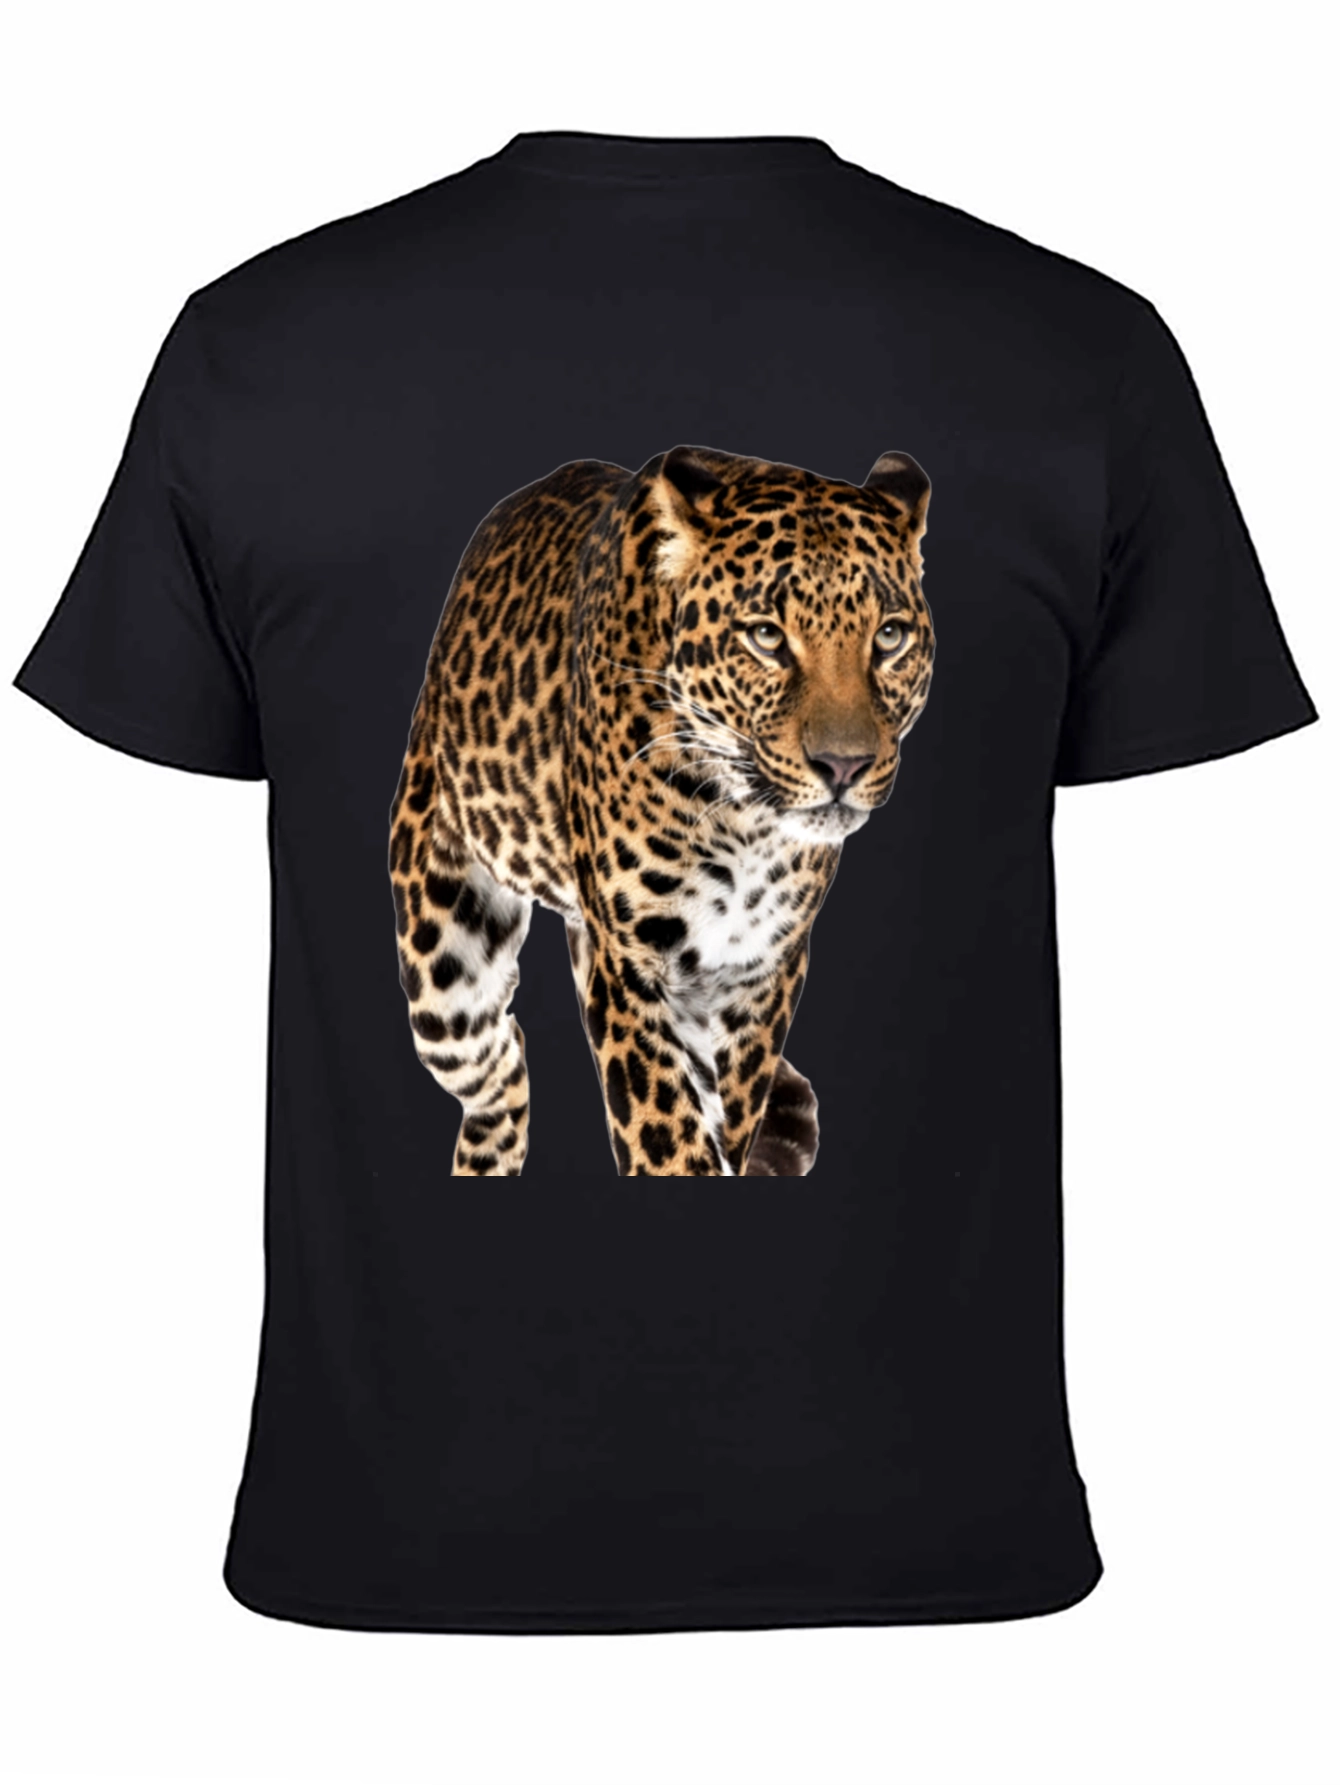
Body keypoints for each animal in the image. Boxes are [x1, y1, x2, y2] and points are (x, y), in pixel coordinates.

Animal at [389, 445, 933, 1177]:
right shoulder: (631, 967)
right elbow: (668, 1135)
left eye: (890, 637)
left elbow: (729, 1114)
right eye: (767, 638)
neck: (745, 822)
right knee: (499, 1068)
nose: (843, 767)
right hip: (445, 973)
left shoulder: (760, 972)